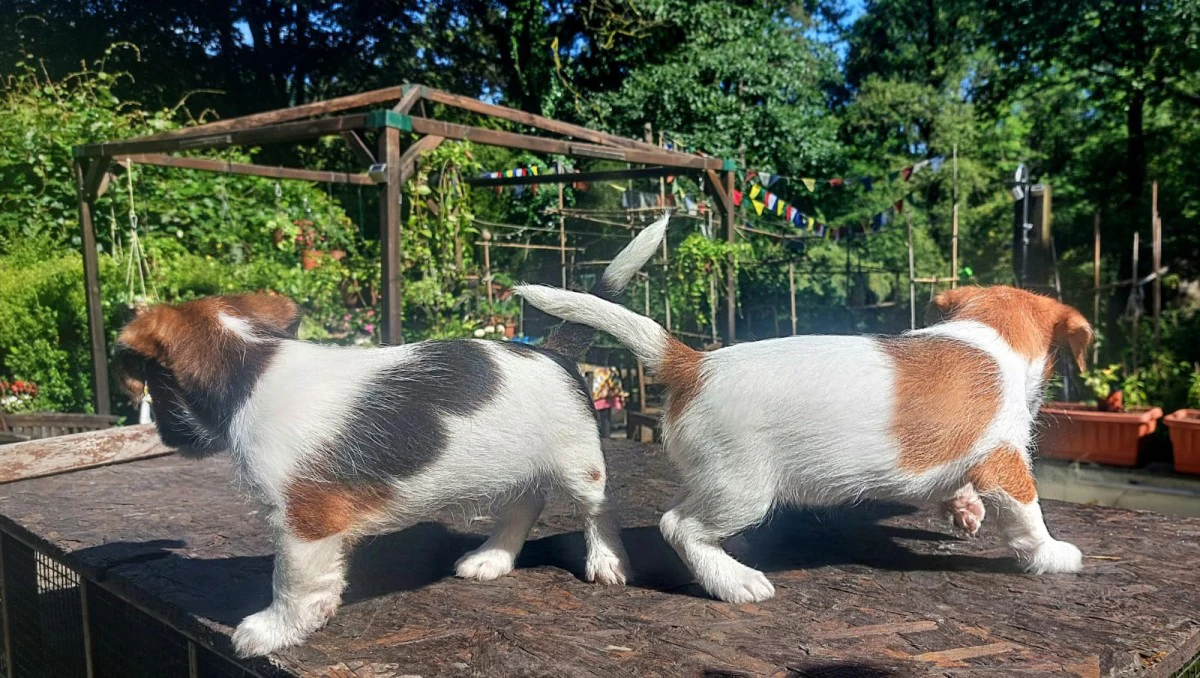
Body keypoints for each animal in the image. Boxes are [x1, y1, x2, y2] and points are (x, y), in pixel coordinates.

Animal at [112, 213, 672, 652]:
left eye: (153, 386)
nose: (164, 435)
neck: (251, 363)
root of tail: (553, 351)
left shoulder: (304, 521)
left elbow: (291, 581)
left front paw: (274, 629)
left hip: (579, 463)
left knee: (598, 509)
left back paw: (606, 560)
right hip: (510, 464)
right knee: (523, 505)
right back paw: (492, 558)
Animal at [516, 283, 1089, 600]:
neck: (985, 336)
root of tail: (695, 364)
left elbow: (953, 484)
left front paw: (965, 510)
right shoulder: (1005, 462)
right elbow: (1029, 516)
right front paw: (1052, 554)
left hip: (715, 477)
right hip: (744, 490)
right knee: (678, 526)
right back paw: (736, 583)